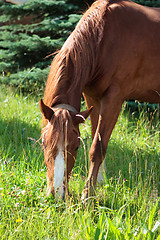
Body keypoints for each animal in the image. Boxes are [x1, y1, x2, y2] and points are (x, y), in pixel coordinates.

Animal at [39, 0, 160, 200]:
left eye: (76, 147)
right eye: (43, 142)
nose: (57, 194)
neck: (104, 37)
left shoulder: (114, 98)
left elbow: (97, 147)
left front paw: (88, 195)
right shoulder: (92, 97)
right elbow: (97, 136)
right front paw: (99, 183)